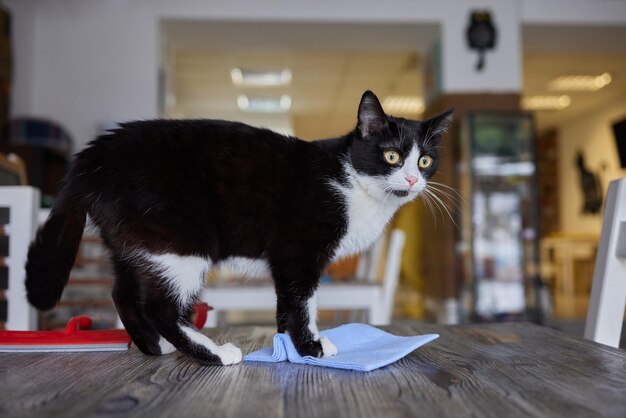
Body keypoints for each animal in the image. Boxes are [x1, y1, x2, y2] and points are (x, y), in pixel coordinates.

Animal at [24, 90, 450, 364]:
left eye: (425, 161)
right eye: (391, 155)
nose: (412, 179)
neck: (354, 182)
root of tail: (94, 154)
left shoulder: (285, 261)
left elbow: (287, 302)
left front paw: (286, 345)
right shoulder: (298, 249)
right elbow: (303, 301)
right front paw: (310, 348)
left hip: (133, 239)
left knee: (123, 293)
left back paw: (154, 347)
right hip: (180, 238)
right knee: (160, 306)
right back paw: (214, 354)